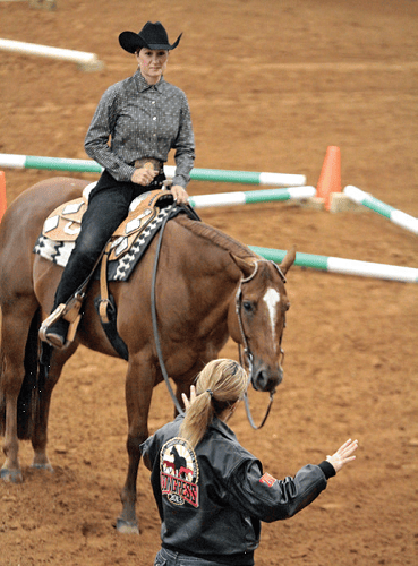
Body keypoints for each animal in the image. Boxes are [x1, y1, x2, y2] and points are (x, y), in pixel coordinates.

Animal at [0, 178, 296, 532]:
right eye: (248, 305)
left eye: (286, 307)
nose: (270, 375)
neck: (181, 277)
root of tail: (26, 198)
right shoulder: (140, 365)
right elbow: (135, 436)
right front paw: (128, 514)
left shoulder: (191, 371)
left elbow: (186, 432)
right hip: (16, 310)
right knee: (14, 379)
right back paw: (12, 464)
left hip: (62, 338)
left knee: (46, 381)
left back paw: (42, 458)